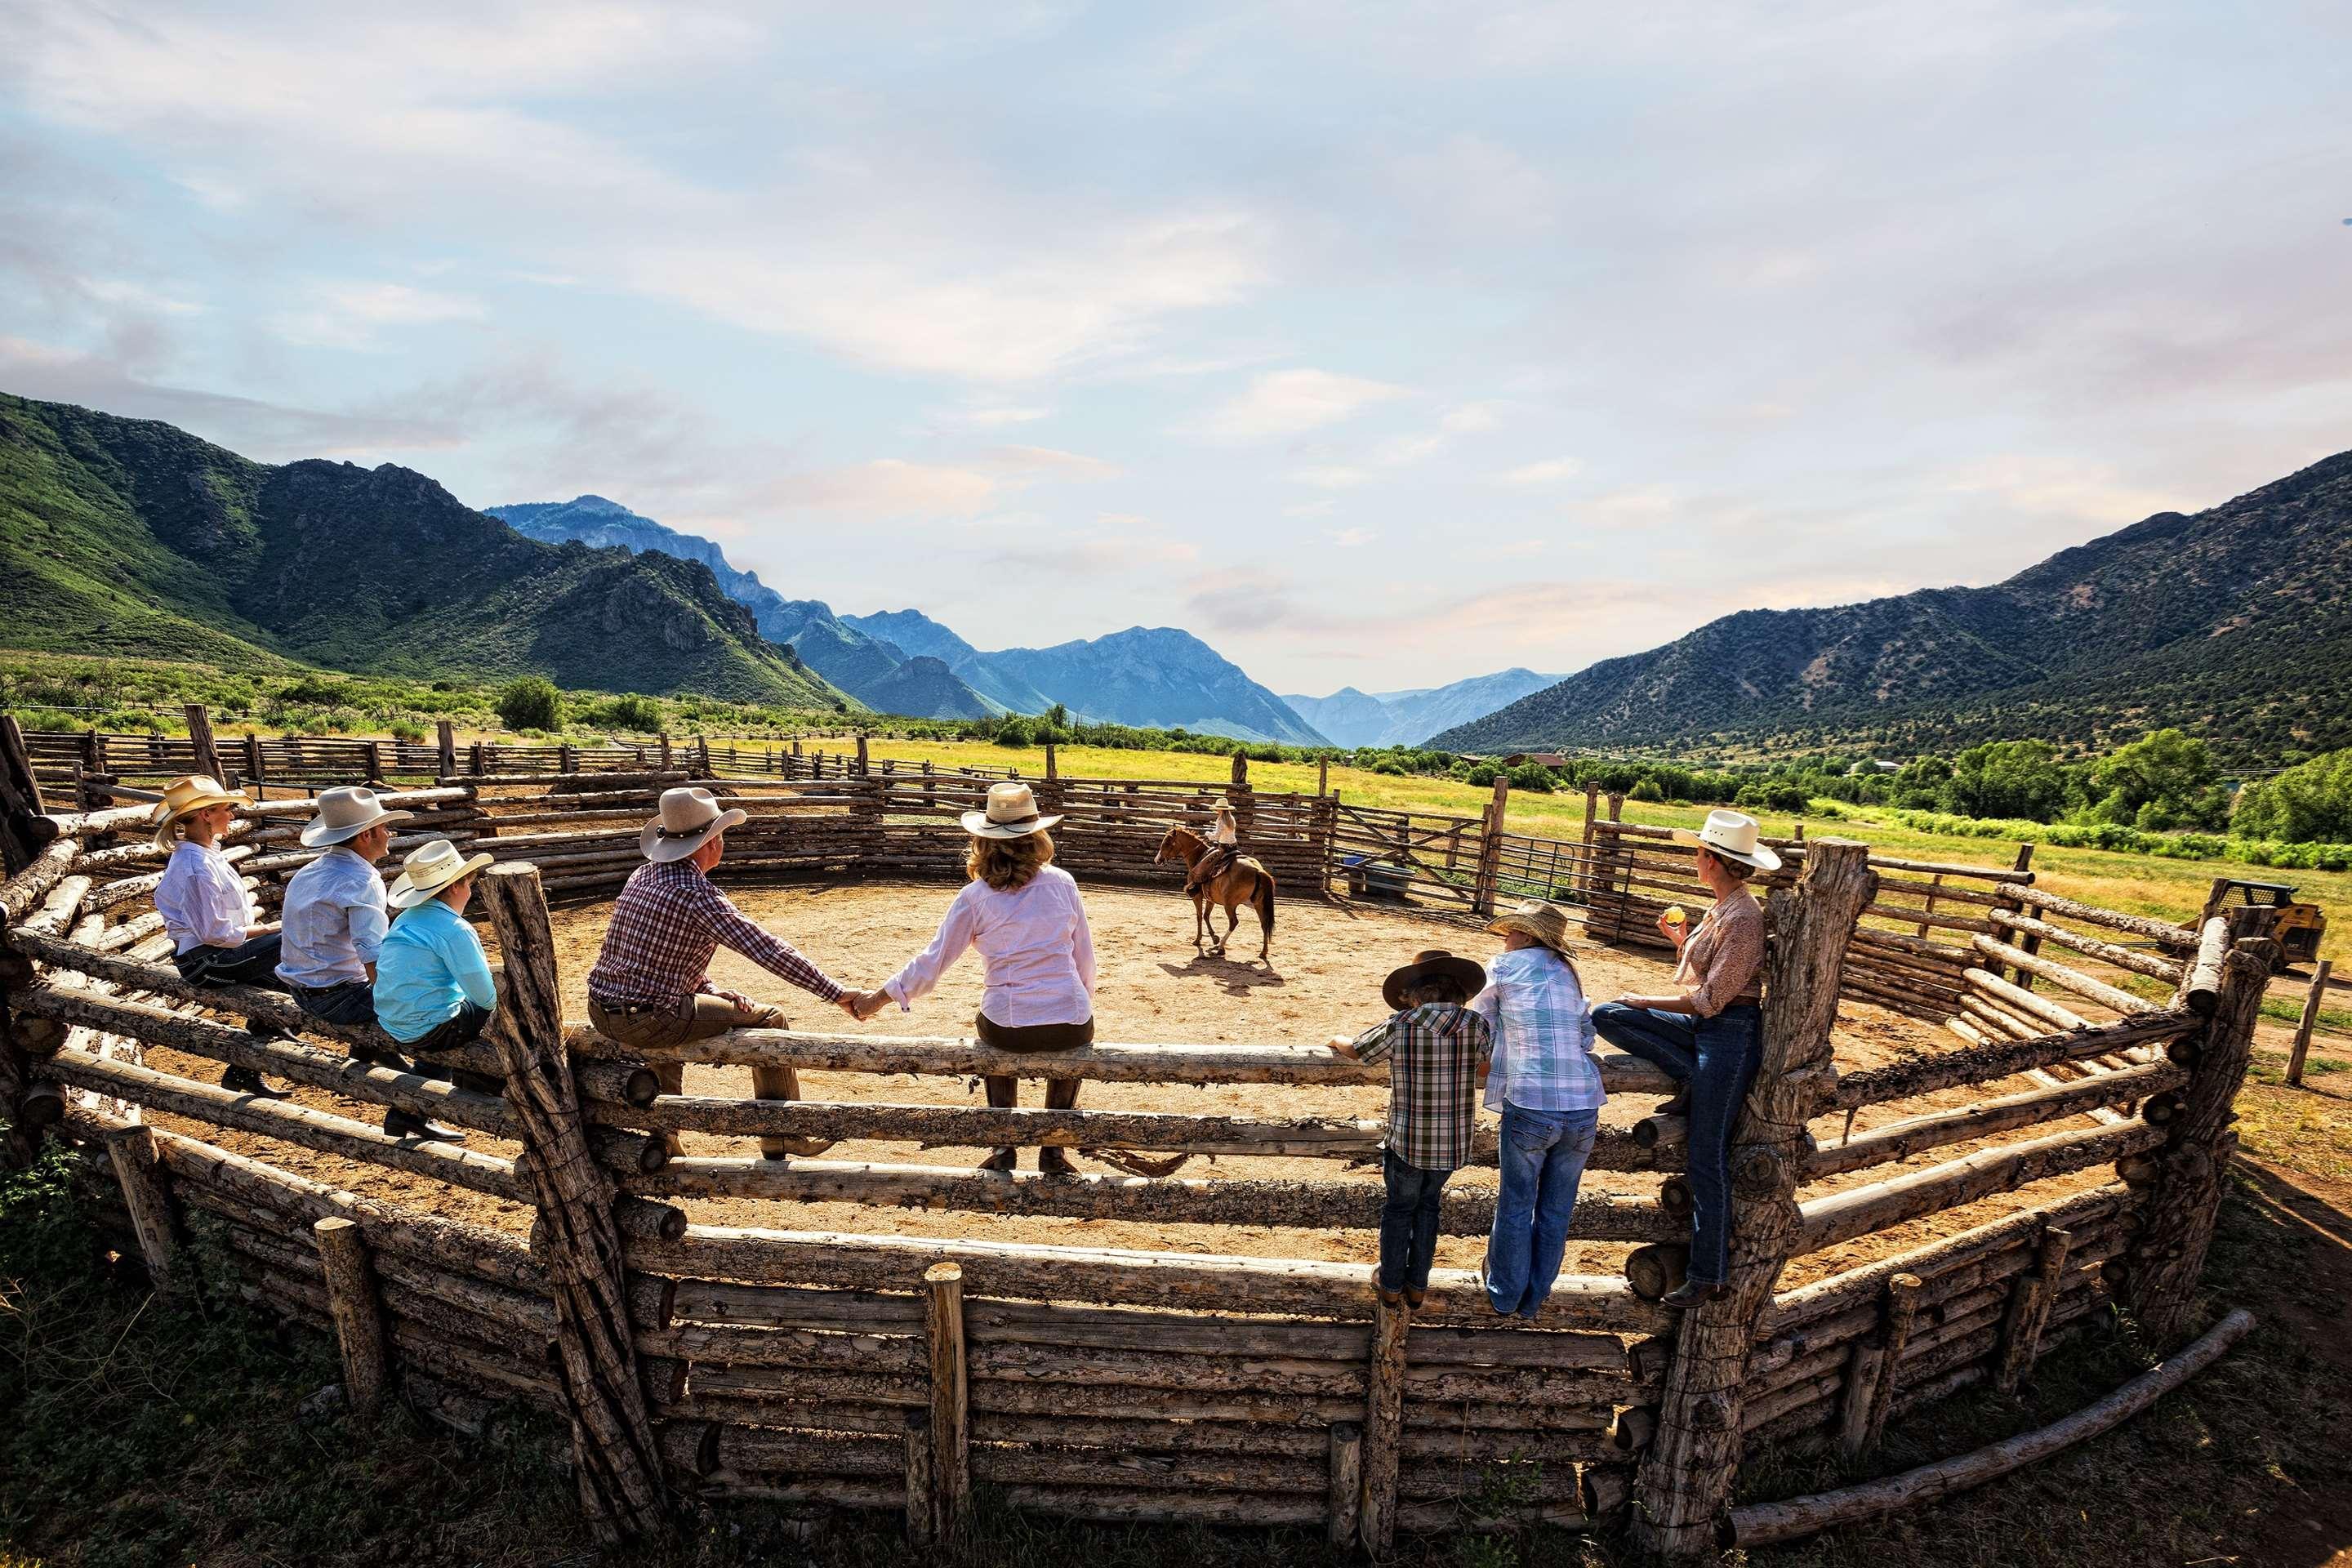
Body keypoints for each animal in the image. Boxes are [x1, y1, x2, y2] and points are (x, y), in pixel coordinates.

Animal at [1152, 827, 1279, 964]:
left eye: (1167, 843)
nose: (1157, 860)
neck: (1198, 857)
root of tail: (1258, 871)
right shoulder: (1210, 899)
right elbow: (1206, 916)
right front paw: (1214, 937)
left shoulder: (1197, 896)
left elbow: (1199, 916)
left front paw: (1198, 940)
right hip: (1259, 904)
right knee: (1264, 924)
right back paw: (1263, 952)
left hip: (1230, 905)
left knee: (1233, 922)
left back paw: (1221, 947)